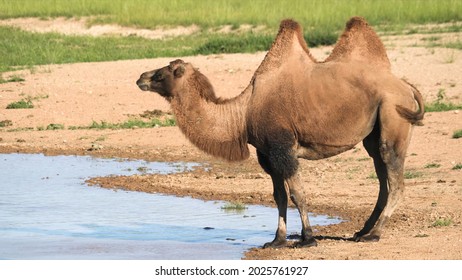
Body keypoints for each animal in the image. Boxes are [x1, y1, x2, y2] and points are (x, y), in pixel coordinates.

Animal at [135, 16, 424, 247]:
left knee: (395, 180)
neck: (243, 114)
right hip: (374, 133)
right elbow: (279, 196)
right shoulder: (266, 153)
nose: (140, 77)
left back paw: (373, 234)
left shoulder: (283, 148)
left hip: (392, 115)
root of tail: (407, 87)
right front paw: (277, 240)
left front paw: (308, 239)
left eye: (162, 73)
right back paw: (362, 231)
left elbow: (297, 193)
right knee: (382, 178)